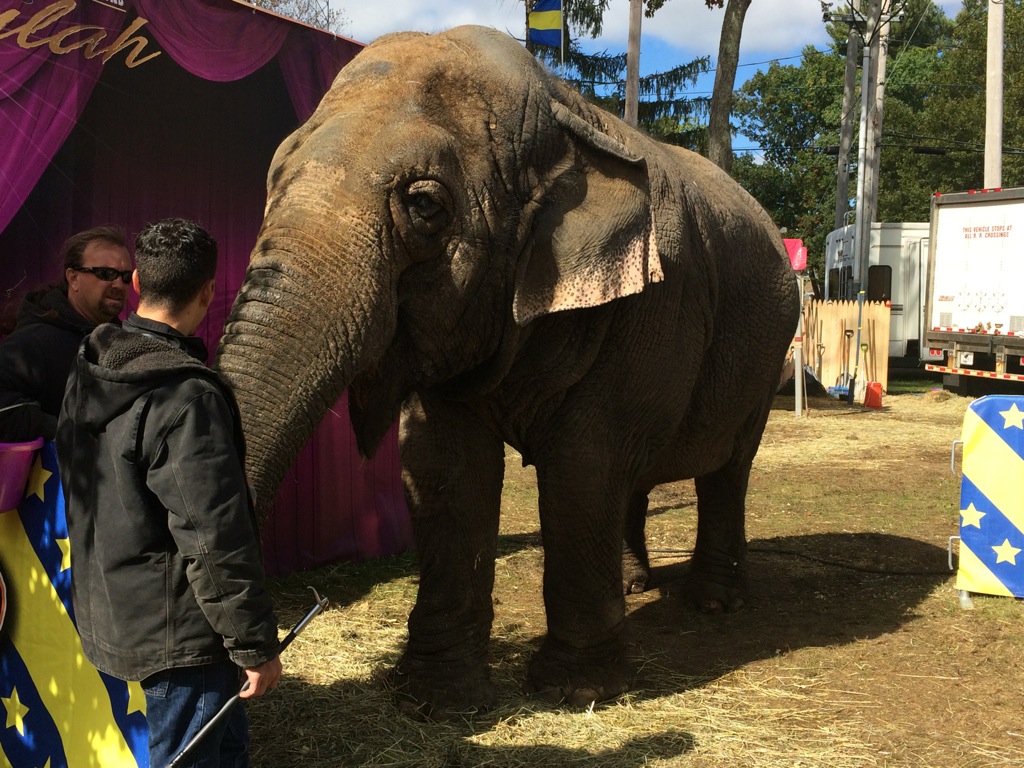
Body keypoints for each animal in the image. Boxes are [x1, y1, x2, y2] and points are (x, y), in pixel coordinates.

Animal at [215, 25, 800, 718]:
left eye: (424, 205)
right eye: (271, 179)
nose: (250, 671)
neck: (562, 109)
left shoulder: (654, 304)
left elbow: (583, 463)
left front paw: (577, 691)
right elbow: (445, 466)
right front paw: (439, 698)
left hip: (768, 350)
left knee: (727, 469)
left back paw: (713, 603)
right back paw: (635, 587)